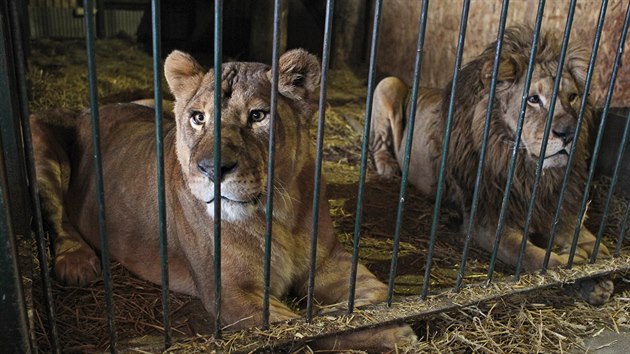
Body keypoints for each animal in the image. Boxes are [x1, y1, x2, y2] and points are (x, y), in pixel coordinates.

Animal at [33, 48, 420, 350]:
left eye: (258, 116)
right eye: (198, 118)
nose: (211, 169)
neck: (278, 213)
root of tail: (91, 107)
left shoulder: (330, 262)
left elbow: (368, 294)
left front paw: (382, 314)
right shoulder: (235, 294)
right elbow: (309, 327)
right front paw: (392, 331)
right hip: (40, 141)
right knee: (57, 218)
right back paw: (78, 262)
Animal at [370, 27, 612, 280]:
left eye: (572, 97)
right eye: (533, 99)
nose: (568, 133)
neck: (528, 171)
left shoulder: (556, 205)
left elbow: (587, 239)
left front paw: (591, 257)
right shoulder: (486, 222)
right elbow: (530, 255)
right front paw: (566, 260)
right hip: (388, 84)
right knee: (379, 143)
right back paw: (389, 167)